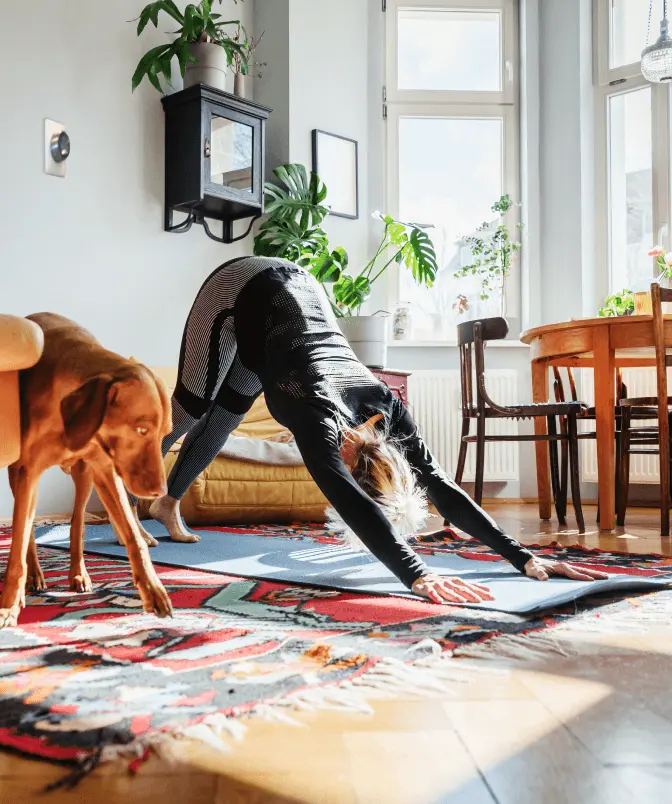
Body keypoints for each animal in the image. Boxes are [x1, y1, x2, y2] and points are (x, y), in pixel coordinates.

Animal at [0, 314, 173, 628]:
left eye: (165, 433)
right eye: (142, 430)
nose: (160, 492)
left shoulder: (106, 471)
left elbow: (133, 536)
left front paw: (153, 590)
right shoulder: (28, 472)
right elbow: (18, 543)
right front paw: (9, 606)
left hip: (85, 476)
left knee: (77, 522)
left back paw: (78, 572)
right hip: (17, 474)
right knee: (28, 531)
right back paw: (35, 575)